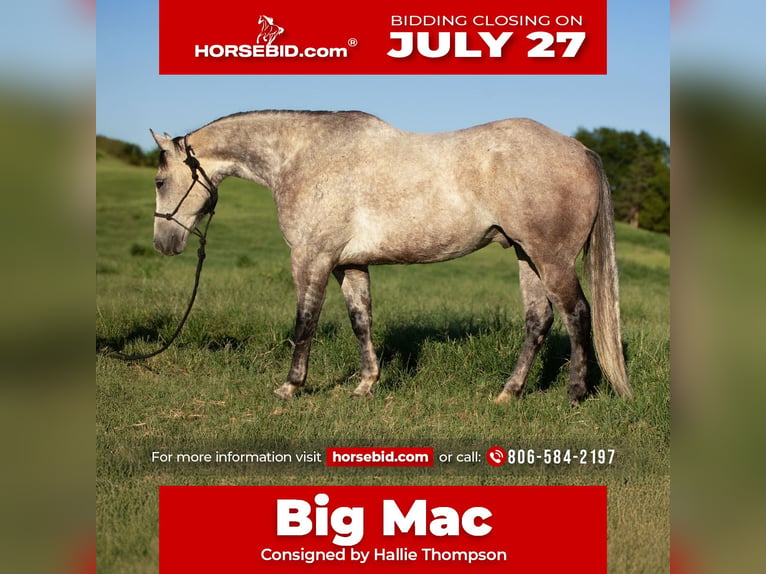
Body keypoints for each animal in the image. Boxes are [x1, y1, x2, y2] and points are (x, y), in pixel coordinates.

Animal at [150, 110, 632, 406]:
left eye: (158, 181)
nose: (162, 244)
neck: (302, 157)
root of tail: (580, 149)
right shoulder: (348, 264)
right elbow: (360, 320)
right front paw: (366, 384)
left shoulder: (311, 259)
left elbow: (304, 323)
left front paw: (290, 387)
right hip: (525, 255)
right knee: (539, 320)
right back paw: (508, 393)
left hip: (551, 260)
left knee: (577, 315)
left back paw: (574, 394)